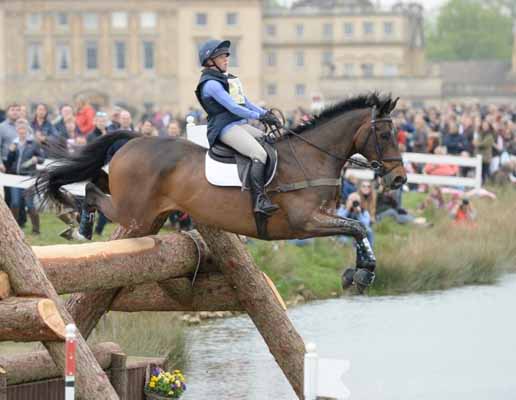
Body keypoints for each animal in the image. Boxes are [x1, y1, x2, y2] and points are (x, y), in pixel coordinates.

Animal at [36, 94, 408, 290]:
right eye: (385, 135)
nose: (399, 180)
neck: (311, 157)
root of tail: (136, 139)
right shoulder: (304, 222)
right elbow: (356, 227)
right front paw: (363, 272)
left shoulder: (324, 216)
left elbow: (357, 229)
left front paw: (358, 270)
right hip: (135, 212)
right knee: (92, 190)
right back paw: (80, 224)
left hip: (146, 215)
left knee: (97, 180)